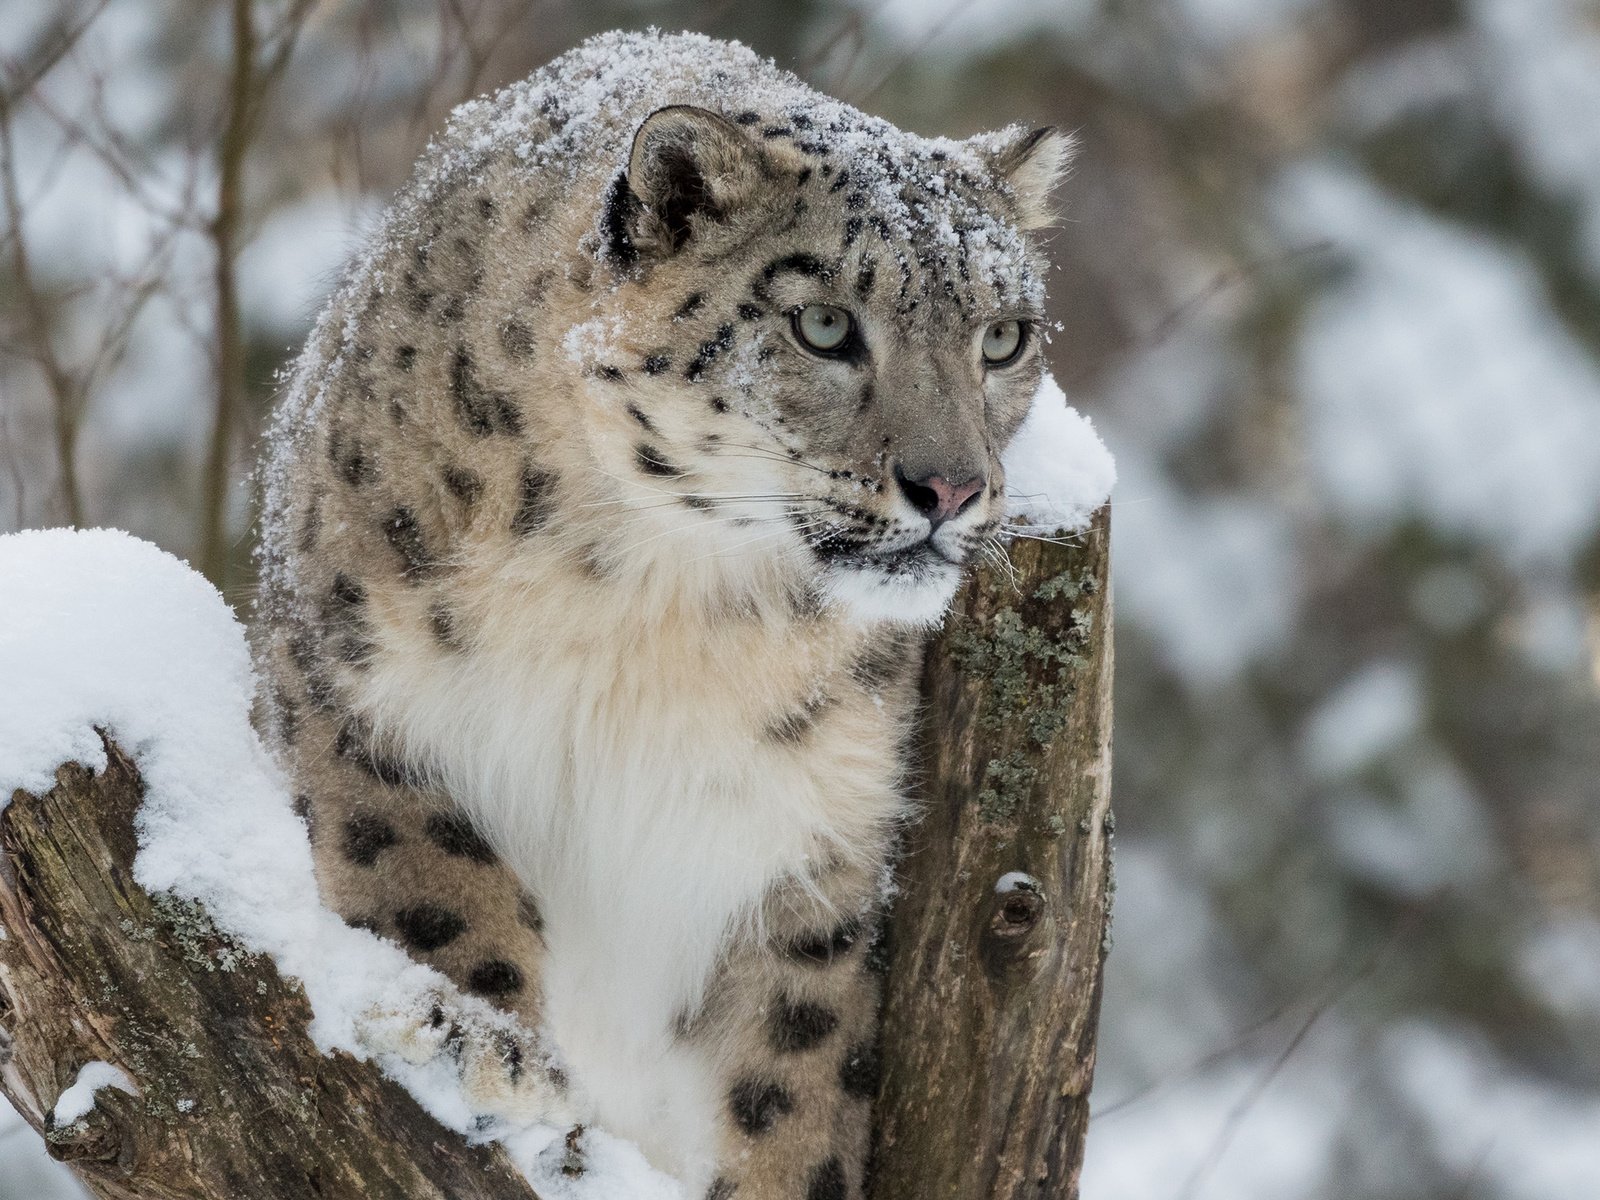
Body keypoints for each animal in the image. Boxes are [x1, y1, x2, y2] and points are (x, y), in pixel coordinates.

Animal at [252, 28, 1075, 1200]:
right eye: (825, 324)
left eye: (1002, 338)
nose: (953, 488)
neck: (665, 607)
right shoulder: (354, 678)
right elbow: (422, 867)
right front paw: (484, 1050)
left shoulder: (818, 839)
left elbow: (798, 1067)